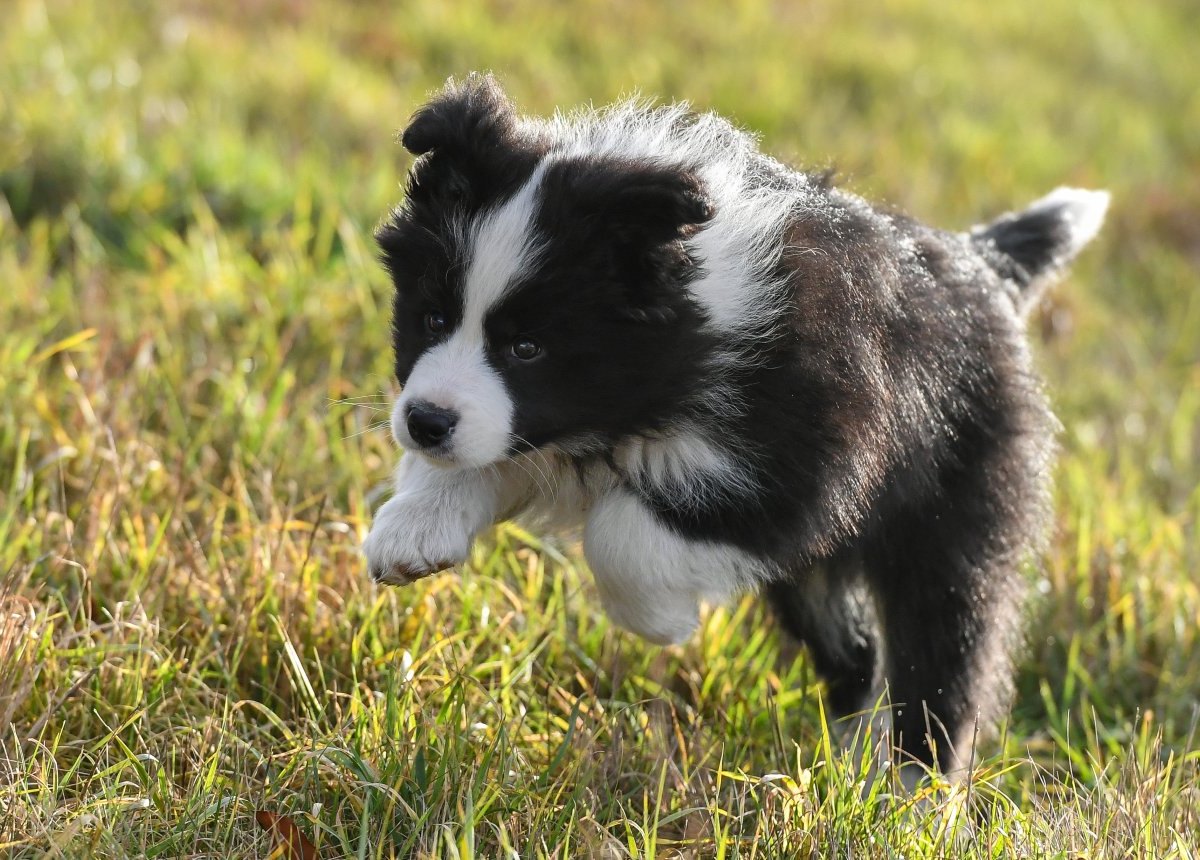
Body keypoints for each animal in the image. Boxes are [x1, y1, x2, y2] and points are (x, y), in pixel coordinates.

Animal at [360, 77, 1108, 782]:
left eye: (527, 348)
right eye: (431, 318)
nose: (424, 423)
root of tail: (983, 267)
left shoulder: (808, 458)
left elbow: (622, 533)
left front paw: (659, 620)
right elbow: (489, 455)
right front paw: (413, 529)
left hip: (951, 514)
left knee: (944, 655)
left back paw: (912, 796)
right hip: (820, 577)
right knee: (857, 655)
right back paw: (845, 768)